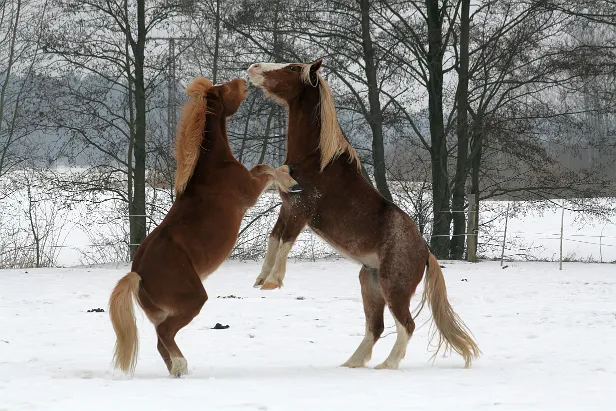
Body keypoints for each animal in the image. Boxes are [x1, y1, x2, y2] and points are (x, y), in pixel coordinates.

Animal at [108, 75, 300, 378]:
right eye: (224, 89)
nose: (243, 80)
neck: (213, 167)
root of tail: (137, 273)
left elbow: (262, 167)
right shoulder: (249, 193)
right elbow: (265, 168)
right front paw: (289, 181)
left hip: (163, 313)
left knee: (161, 341)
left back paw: (178, 370)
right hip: (193, 301)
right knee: (166, 334)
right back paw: (182, 366)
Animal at [247, 60, 482, 370]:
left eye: (293, 68)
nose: (253, 67)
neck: (317, 162)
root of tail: (426, 253)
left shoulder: (301, 210)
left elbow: (285, 241)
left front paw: (274, 280)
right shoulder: (287, 209)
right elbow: (274, 238)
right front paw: (262, 278)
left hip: (393, 287)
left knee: (406, 325)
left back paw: (387, 365)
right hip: (369, 283)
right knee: (376, 327)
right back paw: (352, 363)